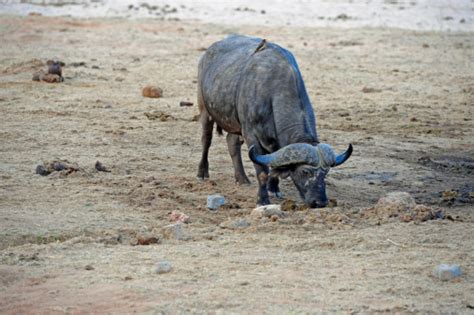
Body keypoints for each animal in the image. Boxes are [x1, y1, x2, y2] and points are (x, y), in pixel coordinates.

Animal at [196, 34, 352, 209]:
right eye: (305, 171)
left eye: (325, 172)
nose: (320, 202)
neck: (271, 92)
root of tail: (208, 53)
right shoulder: (251, 136)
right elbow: (262, 172)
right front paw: (262, 199)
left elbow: (275, 164)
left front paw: (274, 189)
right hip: (204, 110)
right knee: (206, 140)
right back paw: (202, 173)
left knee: (232, 142)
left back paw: (242, 179)